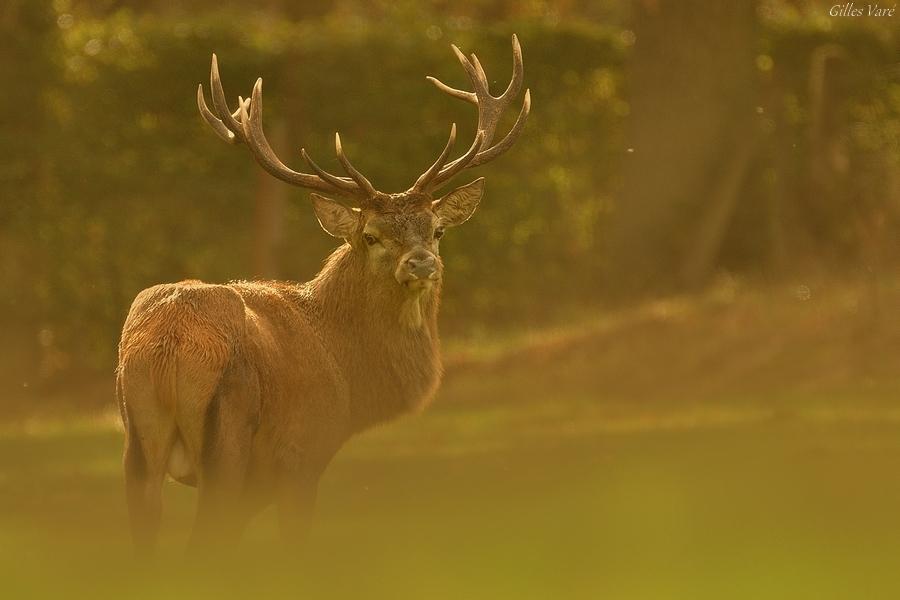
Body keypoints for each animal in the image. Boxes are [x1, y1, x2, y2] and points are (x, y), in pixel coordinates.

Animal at [116, 35, 530, 553]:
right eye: (370, 235)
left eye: (437, 230)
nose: (420, 263)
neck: (349, 378)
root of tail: (168, 342)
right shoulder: (301, 452)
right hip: (227, 437)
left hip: (137, 443)